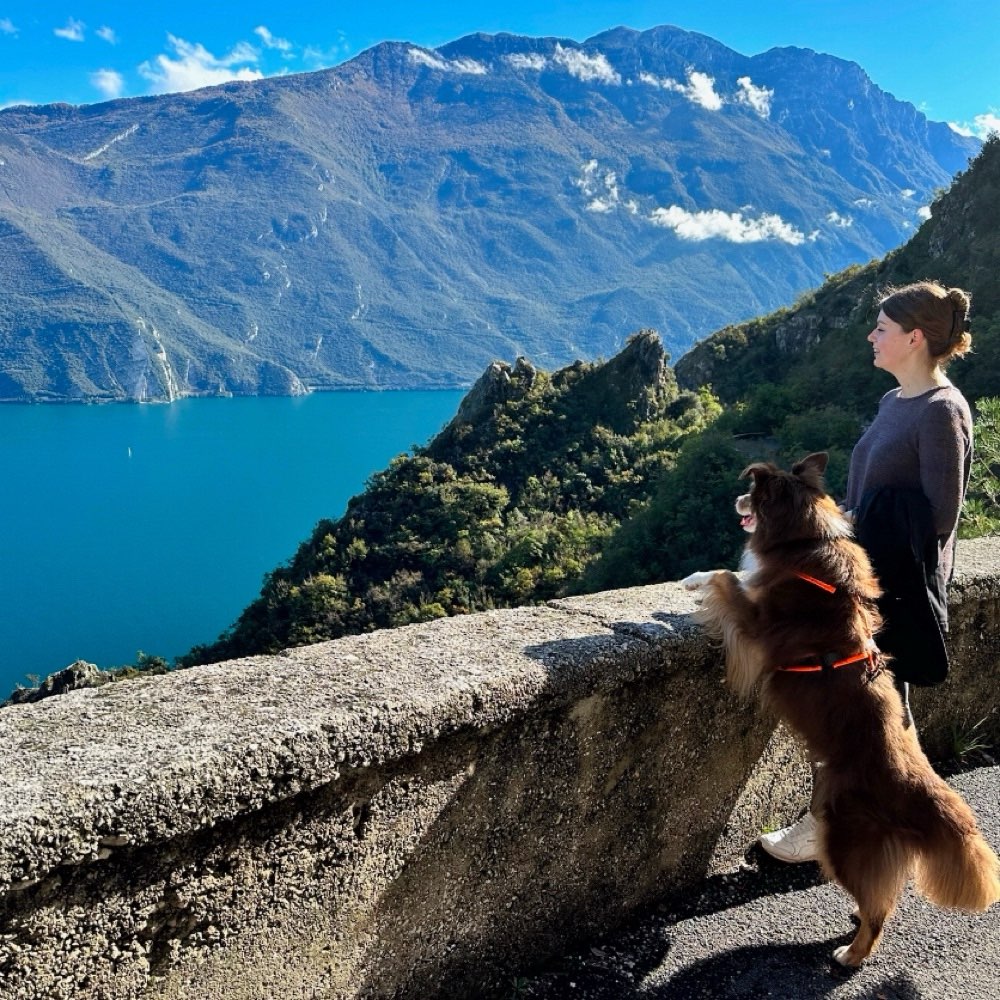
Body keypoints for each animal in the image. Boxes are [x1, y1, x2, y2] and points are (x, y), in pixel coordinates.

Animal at [688, 456, 1000, 968]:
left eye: (751, 494)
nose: (734, 501)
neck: (806, 541)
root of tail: (917, 787)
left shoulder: (757, 623)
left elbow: (727, 578)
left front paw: (692, 580)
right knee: (882, 895)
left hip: (845, 838)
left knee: (878, 909)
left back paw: (852, 954)